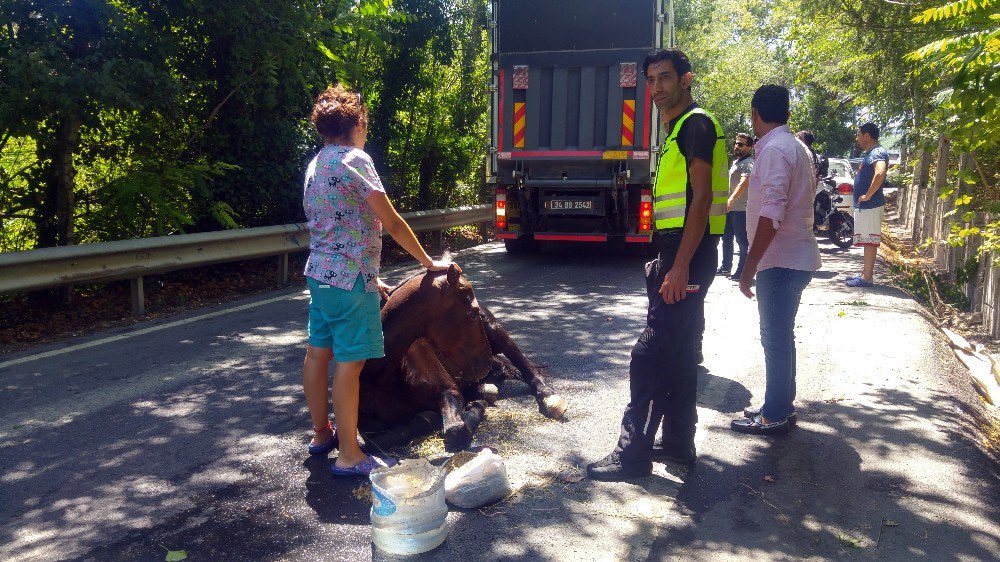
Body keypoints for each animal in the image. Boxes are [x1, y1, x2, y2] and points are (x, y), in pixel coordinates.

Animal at [358, 264, 564, 450]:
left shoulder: (449, 389)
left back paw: (548, 396)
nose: (485, 364)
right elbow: (367, 444)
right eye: (471, 315)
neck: (382, 375)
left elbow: (455, 430)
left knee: (523, 364)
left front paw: (475, 407)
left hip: (496, 333)